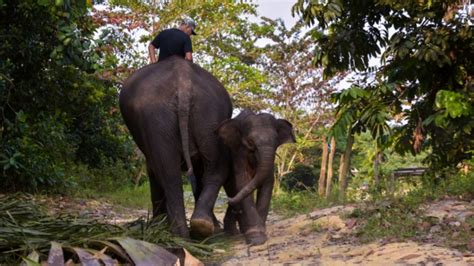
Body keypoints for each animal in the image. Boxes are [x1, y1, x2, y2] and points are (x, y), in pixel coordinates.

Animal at [119, 55, 232, 237]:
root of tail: (183, 80)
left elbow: (153, 171)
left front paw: (156, 225)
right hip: (210, 114)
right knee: (211, 167)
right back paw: (200, 227)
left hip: (157, 117)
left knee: (168, 173)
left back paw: (179, 233)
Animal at [217, 108, 294, 245]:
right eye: (250, 142)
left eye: (276, 141)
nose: (227, 200)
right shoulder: (238, 152)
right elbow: (243, 180)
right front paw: (256, 238)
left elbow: (268, 182)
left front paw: (259, 233)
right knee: (233, 189)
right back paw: (233, 233)